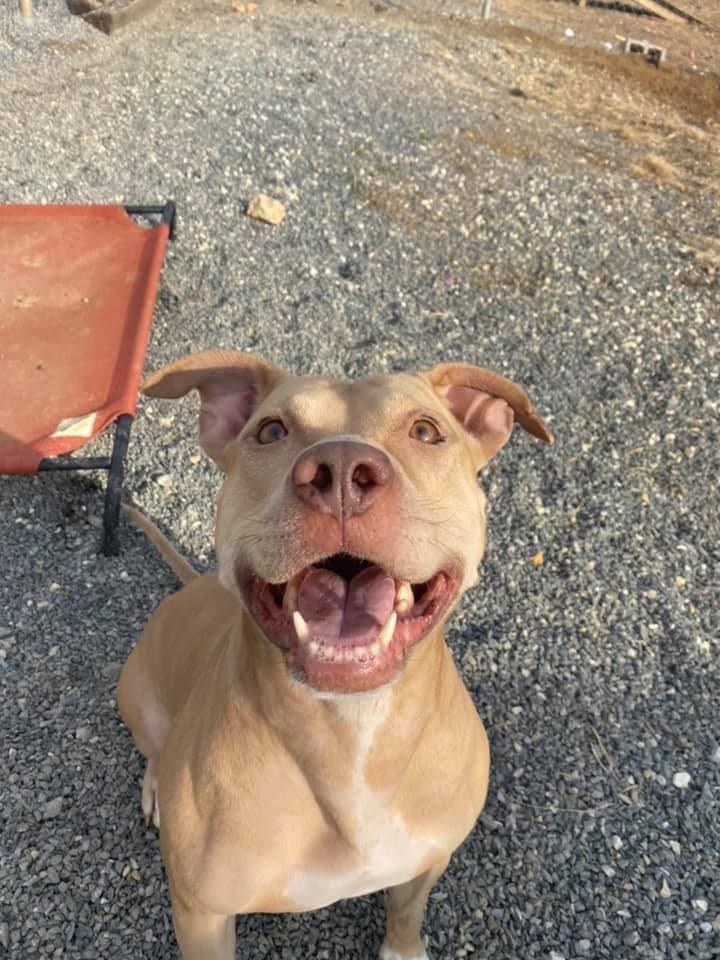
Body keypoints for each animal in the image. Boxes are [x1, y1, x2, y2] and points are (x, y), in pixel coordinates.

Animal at [118, 352, 552, 960]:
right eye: (271, 431)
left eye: (426, 431)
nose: (342, 470)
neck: (352, 734)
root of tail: (190, 584)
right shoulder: (201, 915)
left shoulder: (429, 857)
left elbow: (406, 910)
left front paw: (402, 948)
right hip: (138, 697)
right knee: (155, 745)